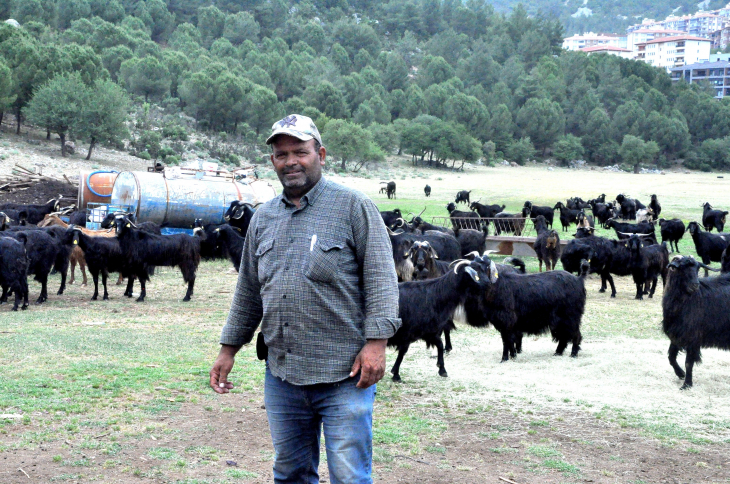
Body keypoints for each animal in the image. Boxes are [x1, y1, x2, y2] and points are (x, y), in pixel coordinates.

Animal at [660, 258, 728, 390]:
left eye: (697, 268)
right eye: (682, 268)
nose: (695, 285)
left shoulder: (692, 337)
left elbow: (688, 363)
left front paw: (686, 384)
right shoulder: (677, 335)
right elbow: (671, 357)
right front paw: (681, 374)